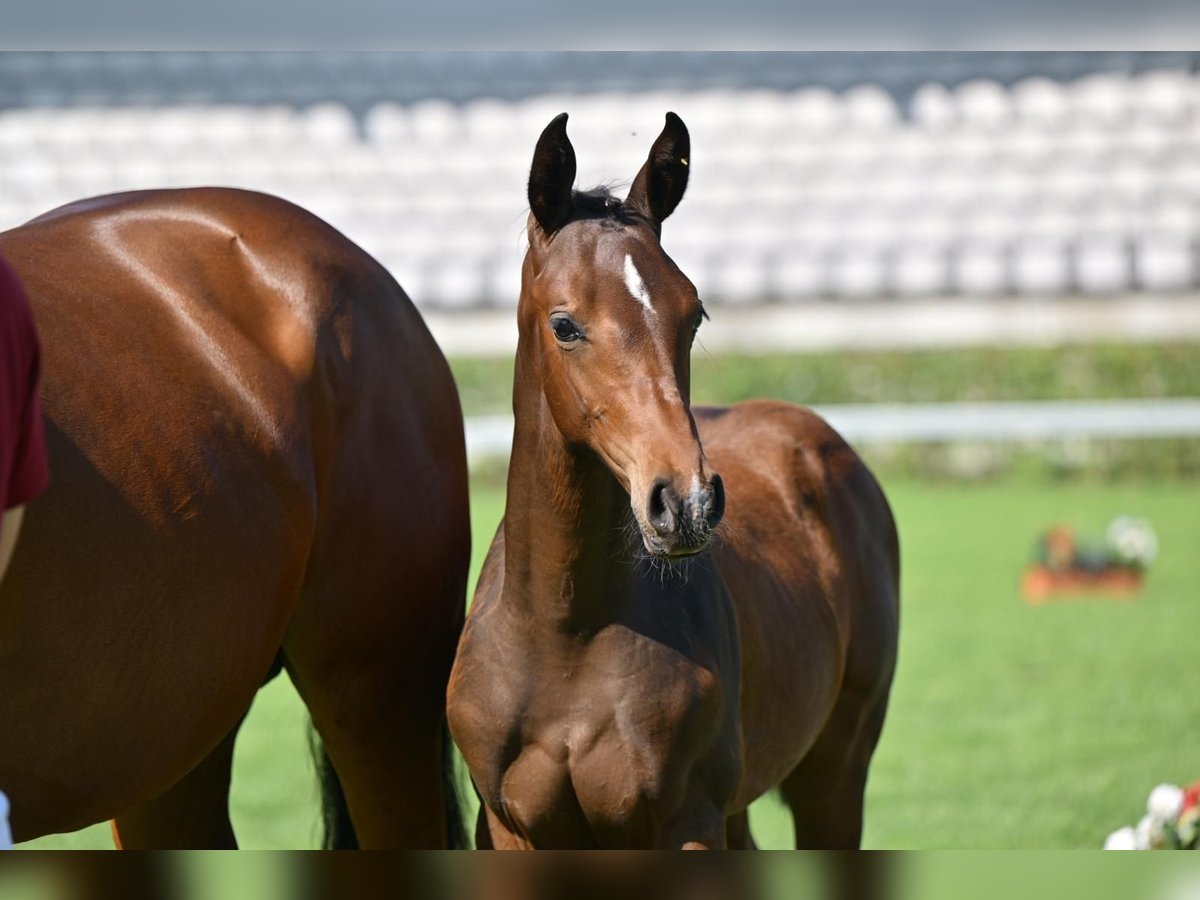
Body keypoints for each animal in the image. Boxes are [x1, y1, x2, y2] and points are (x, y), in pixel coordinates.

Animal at [447, 113, 900, 849]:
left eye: (694, 315)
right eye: (565, 324)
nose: (686, 502)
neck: (565, 636)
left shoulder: (687, 823)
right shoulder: (513, 829)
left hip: (835, 771)